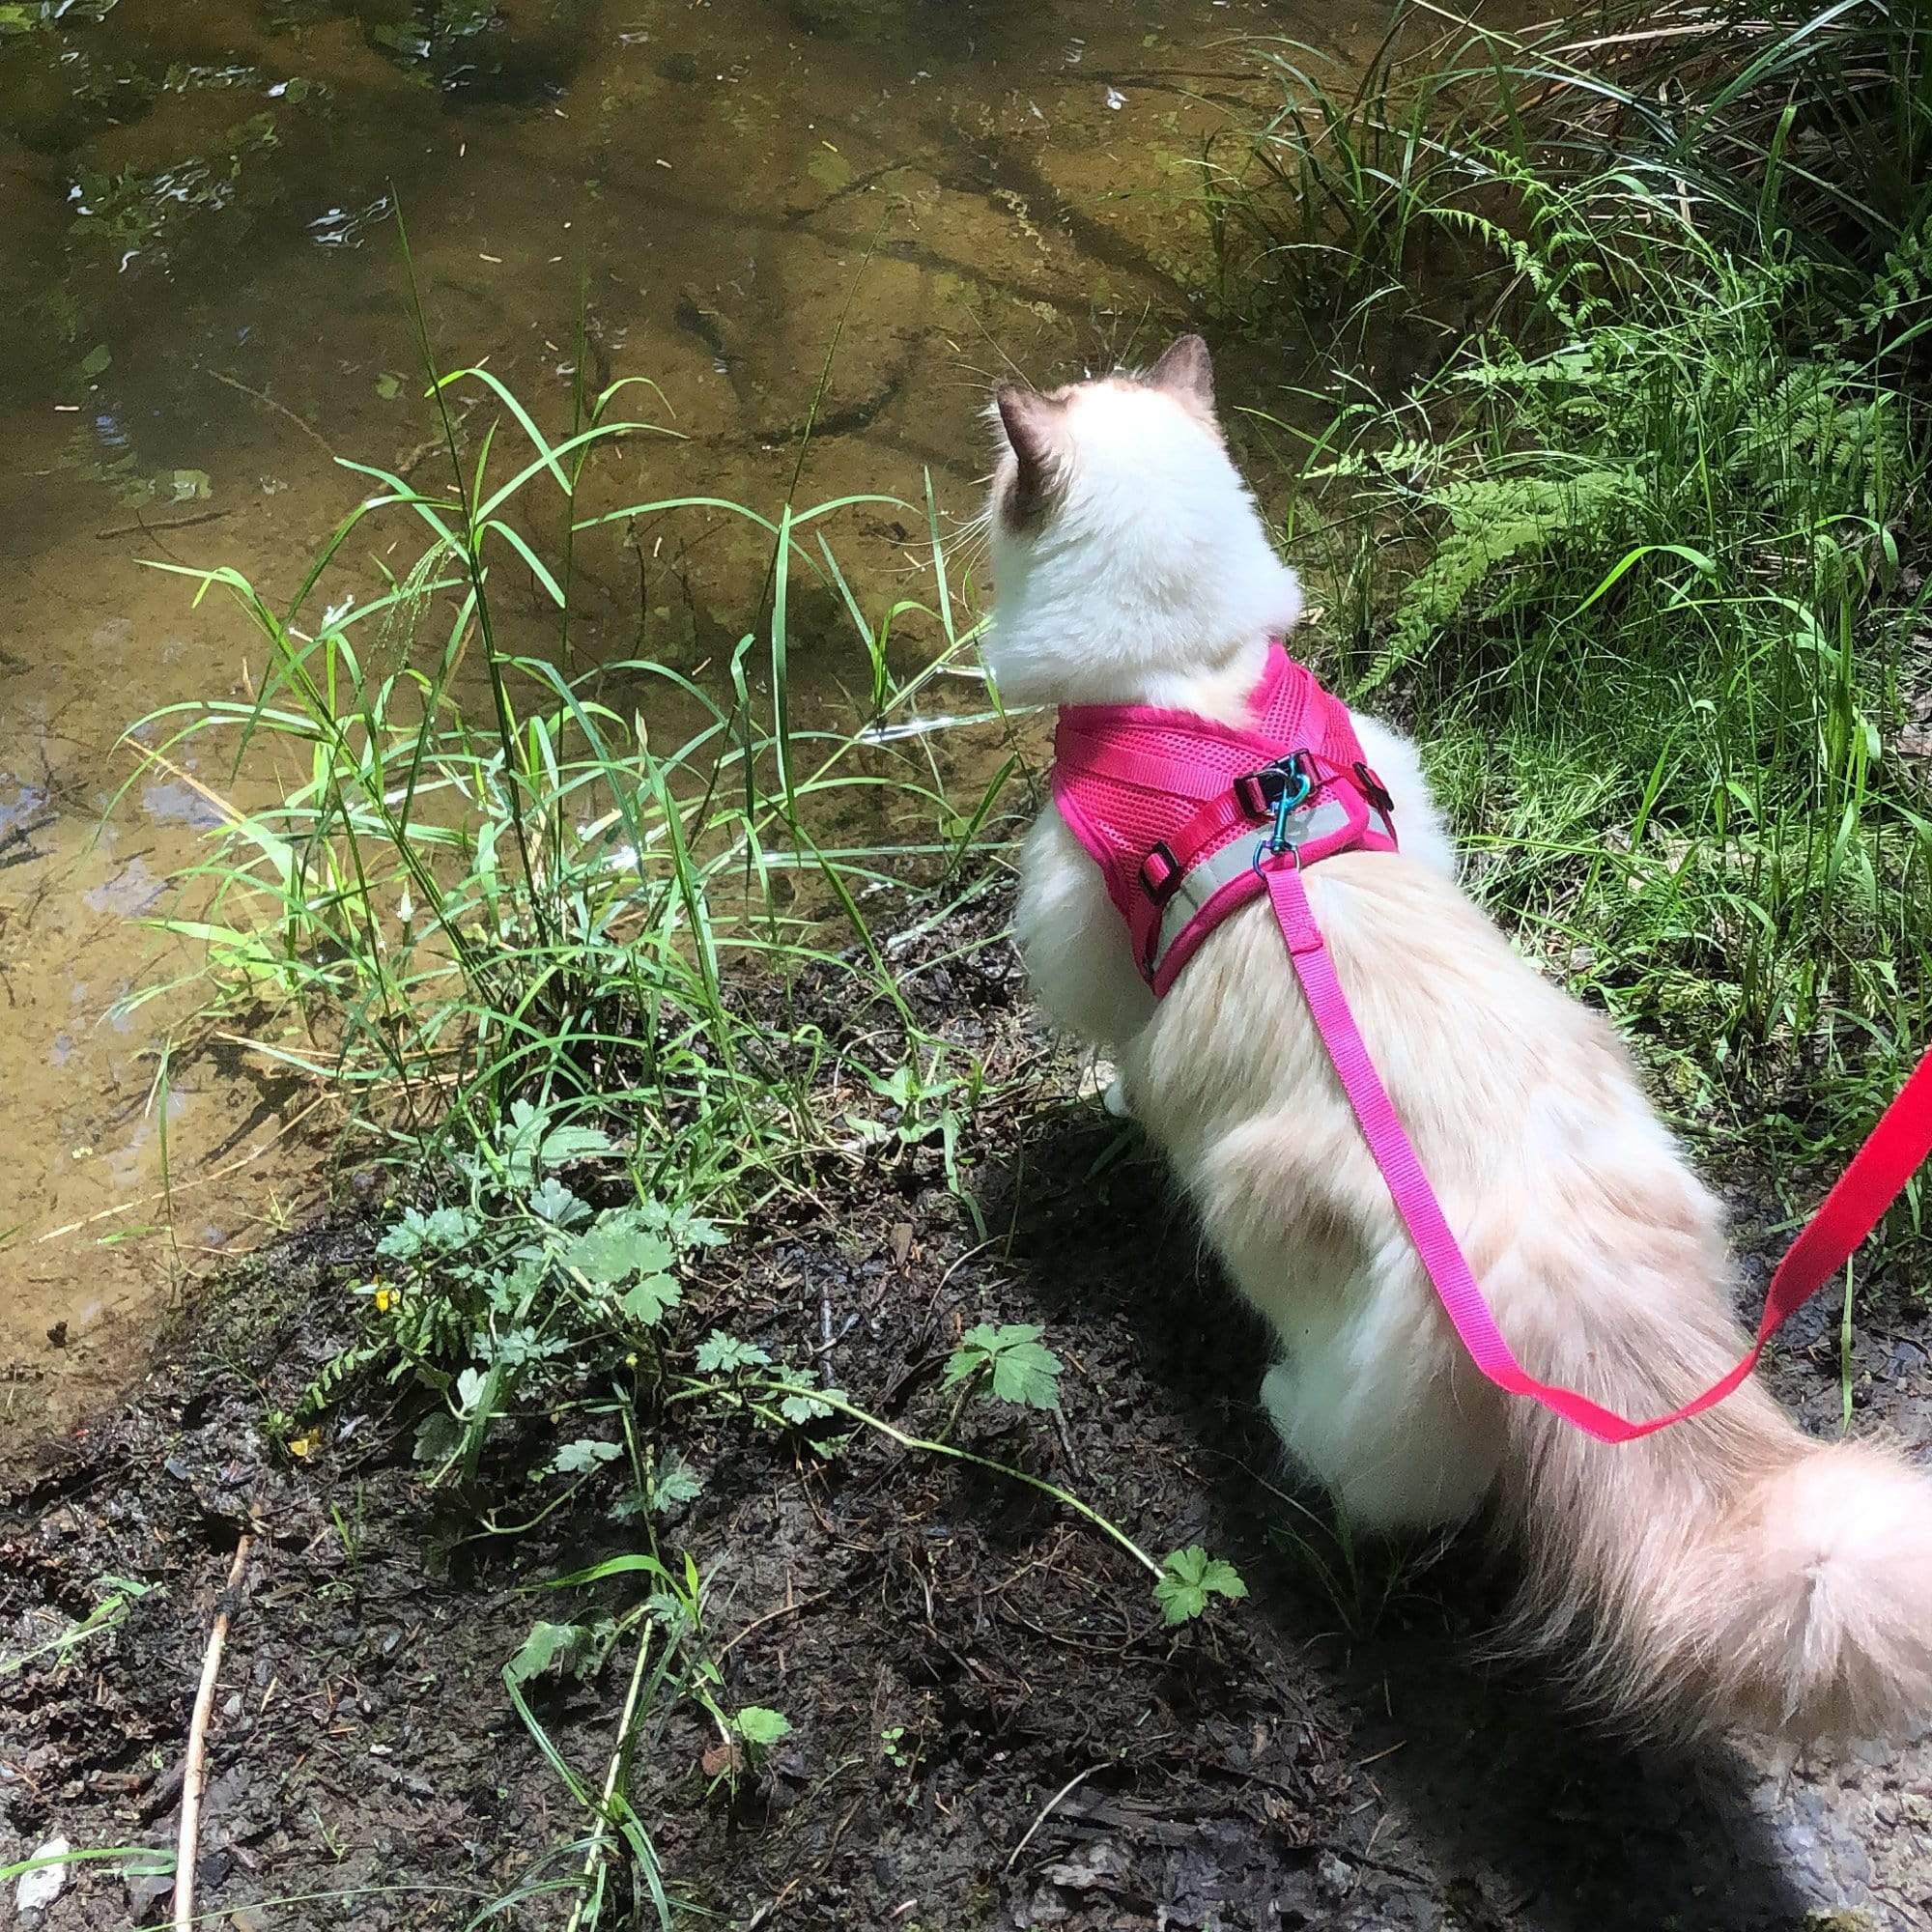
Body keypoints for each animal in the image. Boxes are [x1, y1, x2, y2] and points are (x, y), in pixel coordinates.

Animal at [989, 336, 1932, 1754]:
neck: (1200, 688)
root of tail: (1571, 1281)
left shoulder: (1085, 935)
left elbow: (1112, 1048)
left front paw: (1110, 1101)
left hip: (1343, 1382)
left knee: (1351, 1475)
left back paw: (1278, 1415)